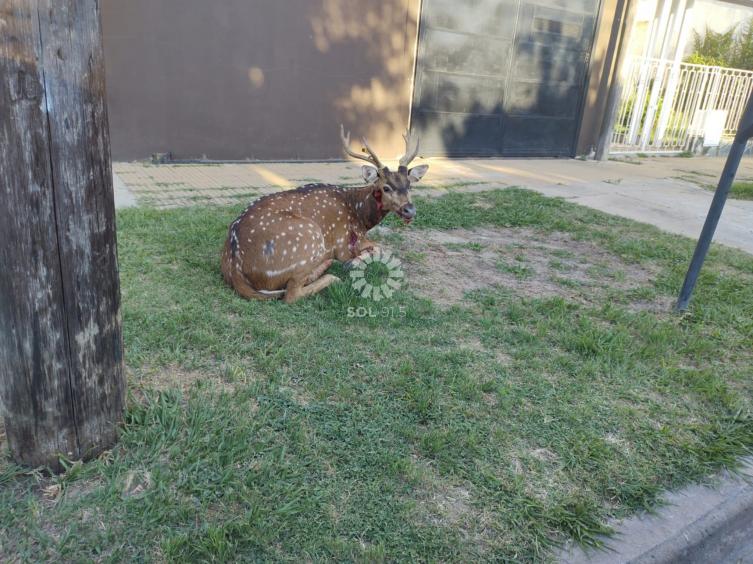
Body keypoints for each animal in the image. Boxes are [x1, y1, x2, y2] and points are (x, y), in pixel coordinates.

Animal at [220, 126, 429, 303]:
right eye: (386, 187)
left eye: (409, 185)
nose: (410, 210)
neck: (359, 214)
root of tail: (235, 268)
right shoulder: (343, 243)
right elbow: (381, 249)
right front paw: (353, 263)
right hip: (307, 236)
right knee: (291, 293)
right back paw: (329, 272)